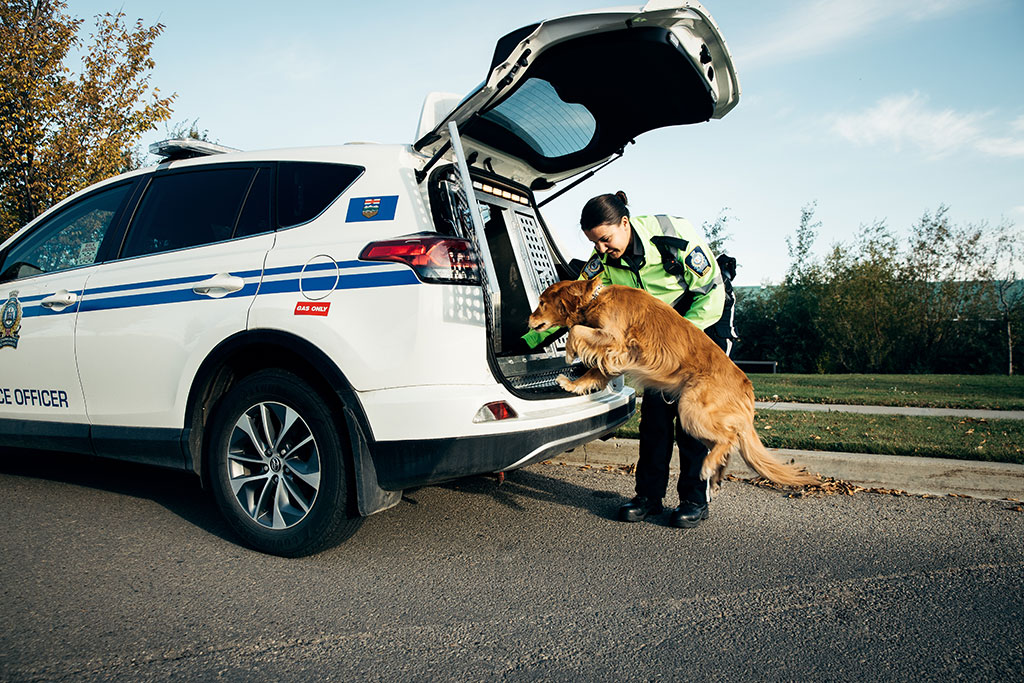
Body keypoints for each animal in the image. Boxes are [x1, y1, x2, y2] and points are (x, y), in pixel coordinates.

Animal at [532, 278, 819, 491]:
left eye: (542, 303)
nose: (528, 320)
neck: (595, 299)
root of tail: (747, 386)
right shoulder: (618, 359)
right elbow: (594, 372)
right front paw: (572, 384)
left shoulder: (616, 341)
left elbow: (576, 330)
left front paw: (570, 353)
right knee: (727, 444)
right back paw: (716, 476)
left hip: (692, 411)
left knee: (728, 439)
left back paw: (708, 467)